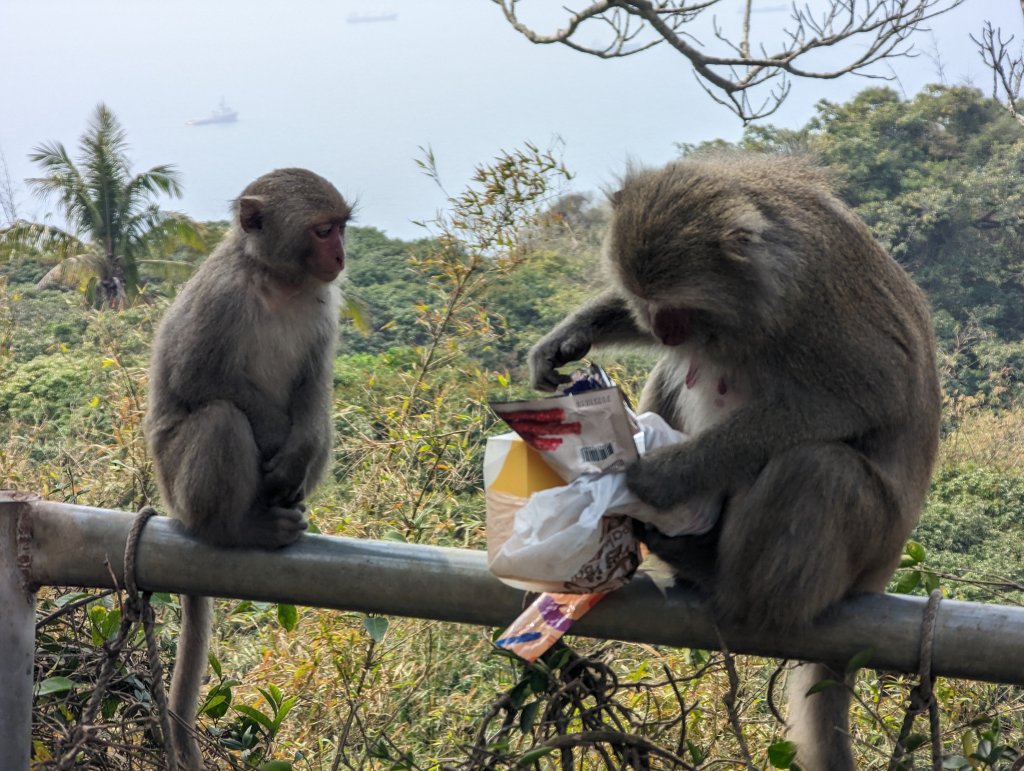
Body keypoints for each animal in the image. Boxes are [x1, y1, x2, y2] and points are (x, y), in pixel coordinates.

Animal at [144, 165, 352, 765]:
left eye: (342, 227)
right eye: (324, 230)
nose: (342, 255)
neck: (279, 282)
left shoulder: (325, 300)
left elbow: (314, 388)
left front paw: (298, 448)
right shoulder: (221, 297)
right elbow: (196, 377)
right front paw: (276, 439)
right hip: (179, 481)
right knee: (221, 418)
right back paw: (238, 528)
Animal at [532, 151, 937, 769]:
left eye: (677, 307)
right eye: (644, 303)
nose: (659, 328)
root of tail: (881, 574)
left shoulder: (815, 304)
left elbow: (863, 397)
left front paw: (664, 475)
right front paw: (570, 335)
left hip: (868, 549)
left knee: (819, 469)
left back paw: (717, 578)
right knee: (675, 371)